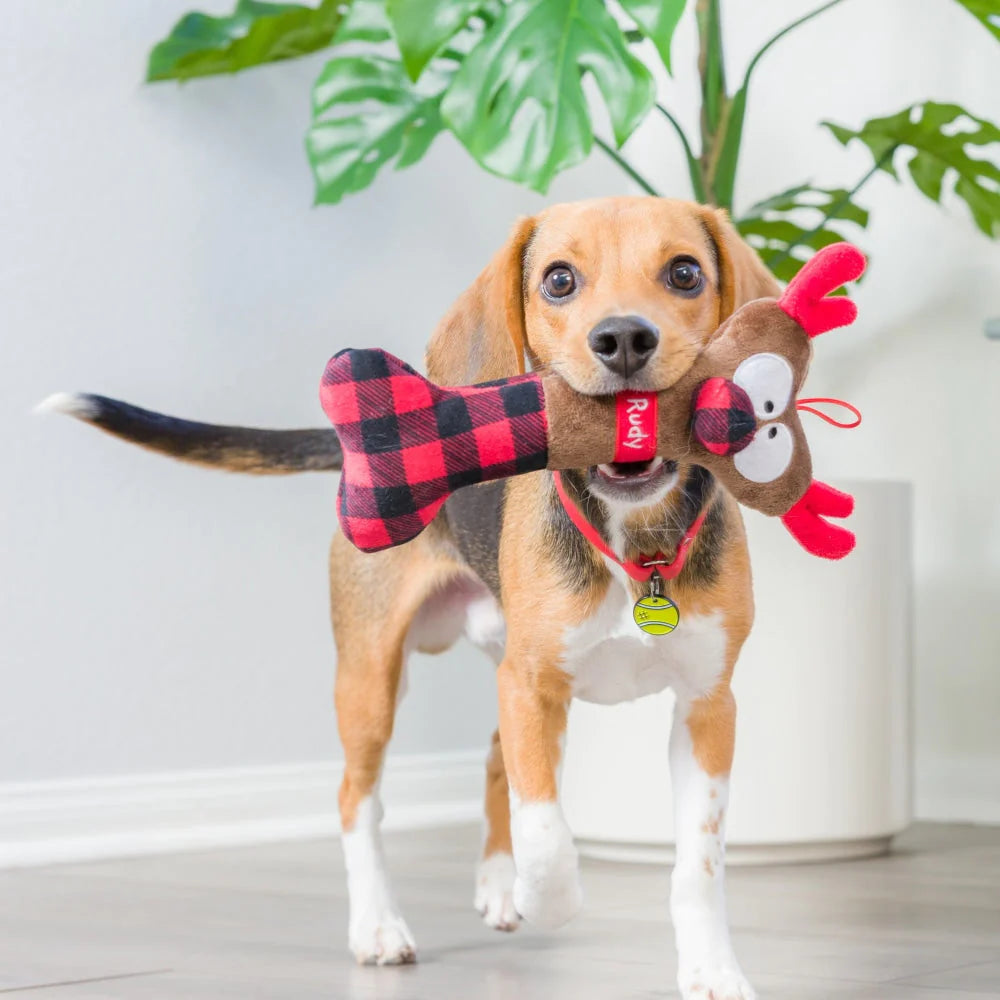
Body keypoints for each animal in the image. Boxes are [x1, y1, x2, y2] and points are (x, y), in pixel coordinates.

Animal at [45, 195, 780, 1000]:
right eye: (559, 281)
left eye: (685, 273)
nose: (622, 339)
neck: (633, 537)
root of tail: (366, 448)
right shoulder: (531, 686)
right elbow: (547, 831)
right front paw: (548, 899)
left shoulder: (708, 706)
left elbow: (696, 866)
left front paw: (712, 970)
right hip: (373, 678)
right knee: (358, 799)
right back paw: (379, 927)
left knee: (492, 760)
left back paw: (495, 884)